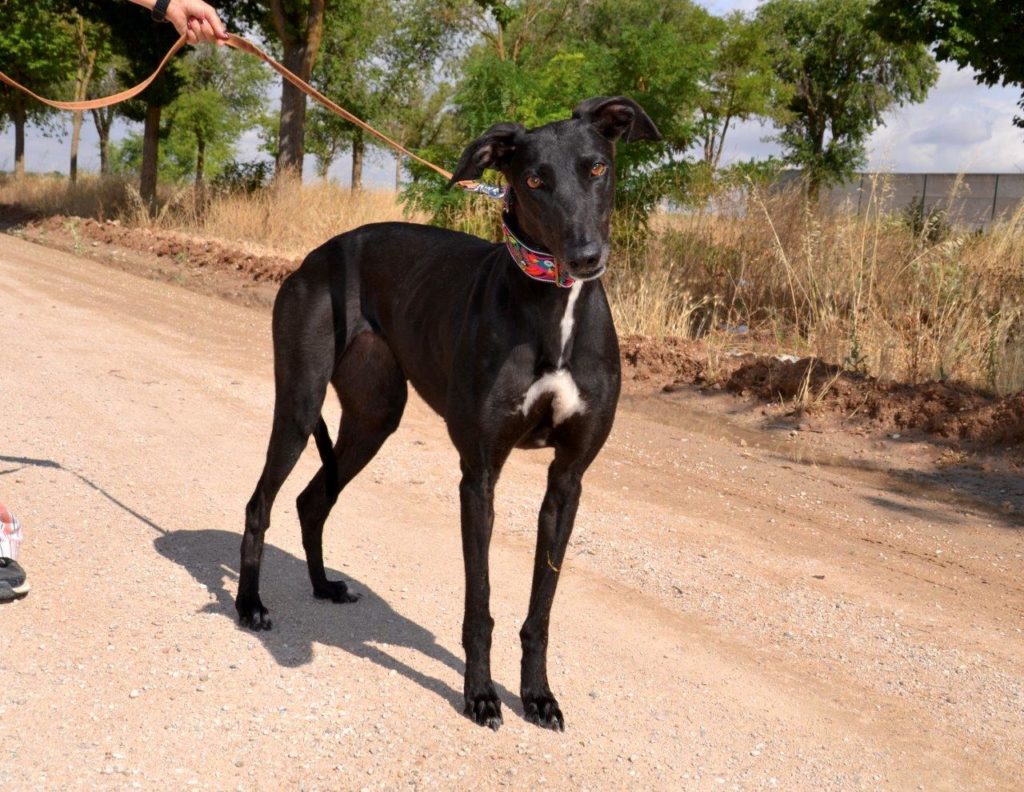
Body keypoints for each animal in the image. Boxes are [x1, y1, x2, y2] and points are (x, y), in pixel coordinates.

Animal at [234, 97, 659, 729]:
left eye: (598, 167)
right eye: (535, 181)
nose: (586, 258)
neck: (554, 309)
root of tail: (320, 253)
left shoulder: (568, 481)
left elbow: (542, 609)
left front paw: (538, 695)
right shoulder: (479, 475)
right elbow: (479, 601)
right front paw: (481, 694)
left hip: (375, 416)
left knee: (312, 500)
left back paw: (324, 586)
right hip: (300, 404)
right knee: (260, 503)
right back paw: (249, 604)